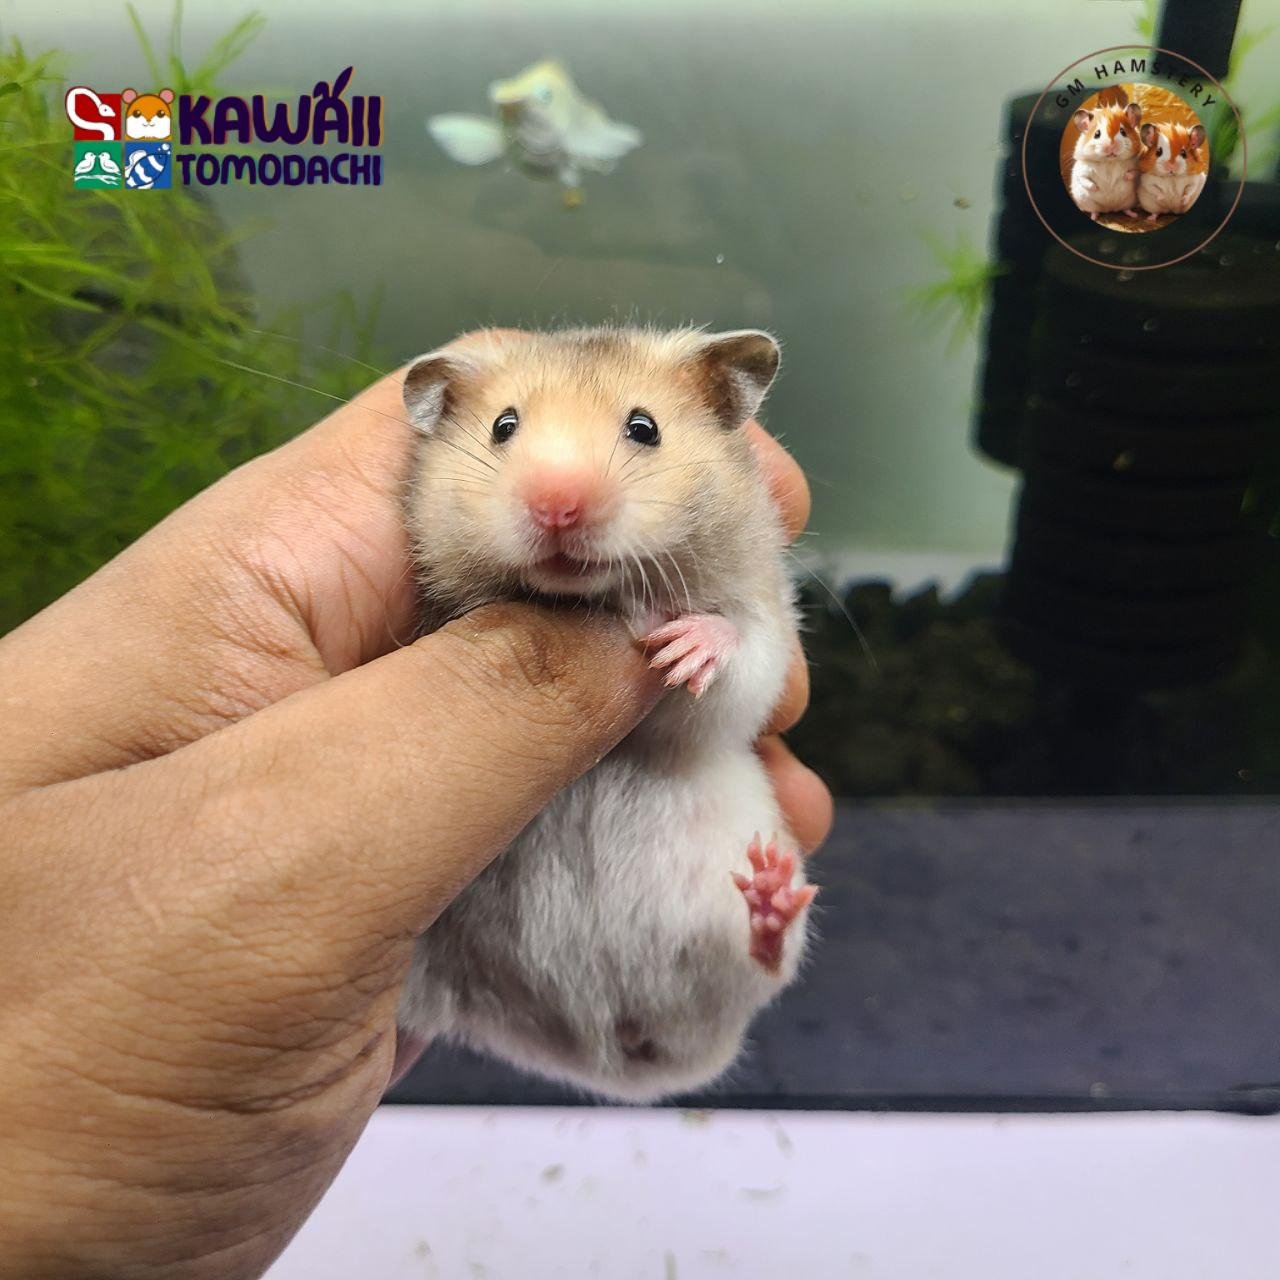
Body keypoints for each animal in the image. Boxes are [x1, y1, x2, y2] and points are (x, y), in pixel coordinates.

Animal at [395, 327, 815, 1102]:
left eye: (644, 428)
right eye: (504, 426)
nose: (557, 505)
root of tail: (612, 1057)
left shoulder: (763, 621)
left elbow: (743, 658)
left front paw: (679, 646)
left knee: (762, 965)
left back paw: (769, 898)